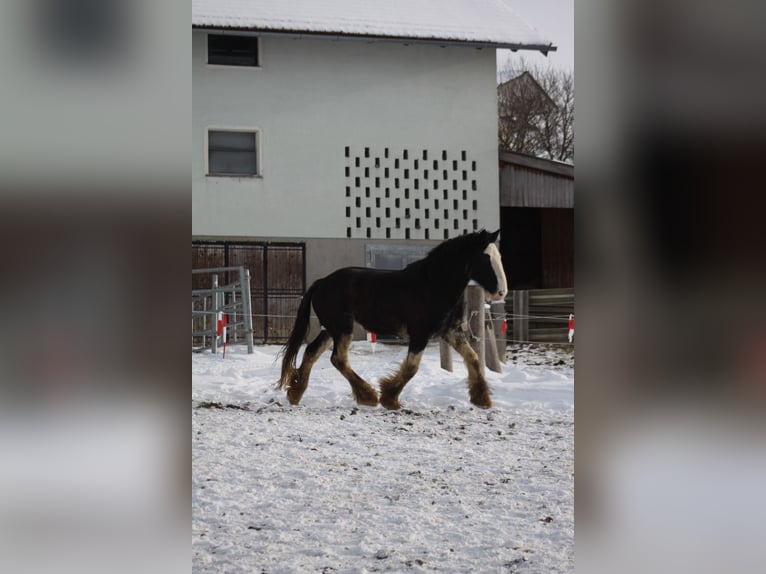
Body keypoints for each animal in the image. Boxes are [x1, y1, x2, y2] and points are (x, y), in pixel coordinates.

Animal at [278, 230, 510, 410]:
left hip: (330, 329)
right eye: (485, 258)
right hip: (342, 328)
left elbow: (474, 358)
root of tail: (322, 282)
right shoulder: (420, 334)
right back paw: (368, 396)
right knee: (338, 358)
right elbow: (412, 367)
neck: (434, 285)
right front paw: (389, 398)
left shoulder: (450, 331)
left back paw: (295, 393)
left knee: (312, 352)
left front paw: (482, 399)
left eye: (499, 256)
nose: (501, 292)